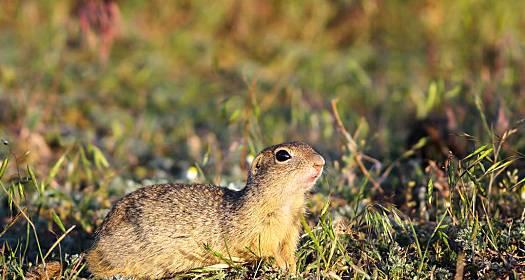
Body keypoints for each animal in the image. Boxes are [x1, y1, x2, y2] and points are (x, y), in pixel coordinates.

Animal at [86, 141, 324, 278]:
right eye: (283, 156)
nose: (320, 162)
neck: (286, 203)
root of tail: (95, 245)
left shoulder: (290, 231)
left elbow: (288, 252)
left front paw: (293, 269)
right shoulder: (258, 232)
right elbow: (265, 250)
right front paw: (282, 268)